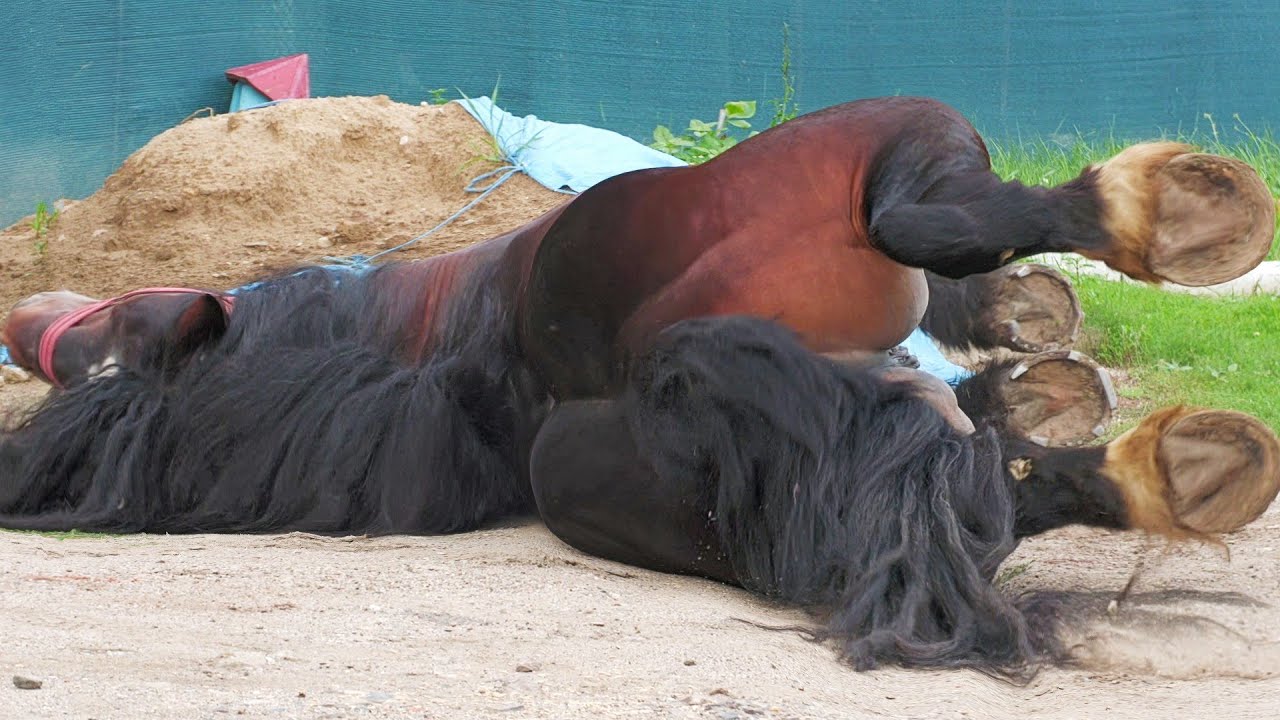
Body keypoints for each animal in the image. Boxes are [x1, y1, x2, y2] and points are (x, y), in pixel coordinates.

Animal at [3, 96, 1277, 676]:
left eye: (103, 328)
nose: (40, 330)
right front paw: (1035, 366)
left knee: (932, 262)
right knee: (933, 290)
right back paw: (1180, 406)